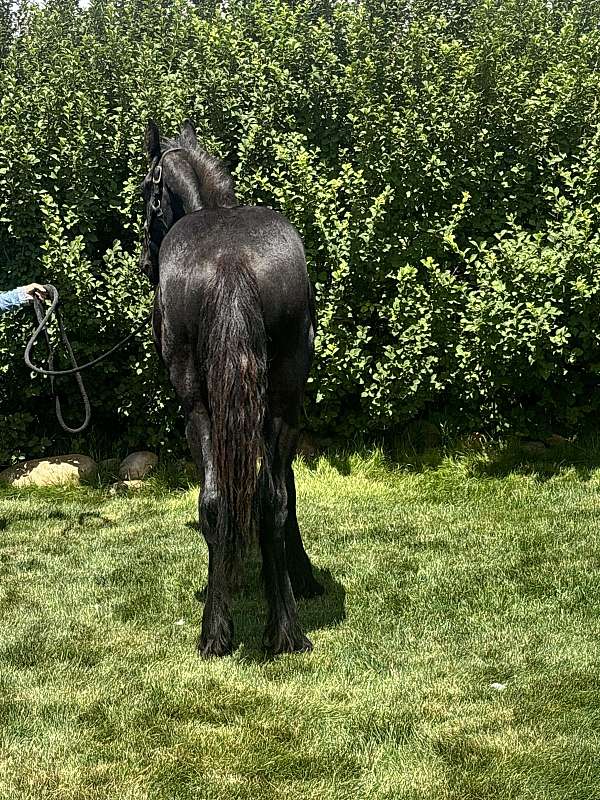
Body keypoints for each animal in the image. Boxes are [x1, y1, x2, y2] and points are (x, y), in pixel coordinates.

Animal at [139, 119, 323, 657]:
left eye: (145, 194)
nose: (145, 262)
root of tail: (230, 262)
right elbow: (283, 491)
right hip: (280, 399)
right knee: (271, 498)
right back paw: (285, 629)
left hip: (198, 407)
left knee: (216, 499)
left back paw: (215, 630)